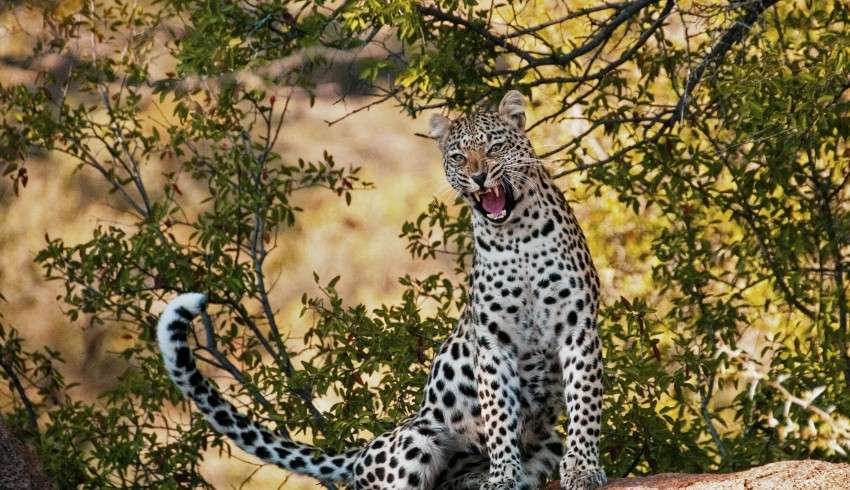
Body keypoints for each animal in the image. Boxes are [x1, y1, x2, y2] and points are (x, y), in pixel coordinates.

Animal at [154, 90, 604, 488]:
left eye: (495, 147)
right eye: (458, 157)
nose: (478, 176)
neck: (516, 234)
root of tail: (364, 451)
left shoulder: (577, 327)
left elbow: (585, 404)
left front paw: (582, 469)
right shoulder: (494, 342)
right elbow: (498, 417)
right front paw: (502, 476)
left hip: (544, 441)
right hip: (416, 440)